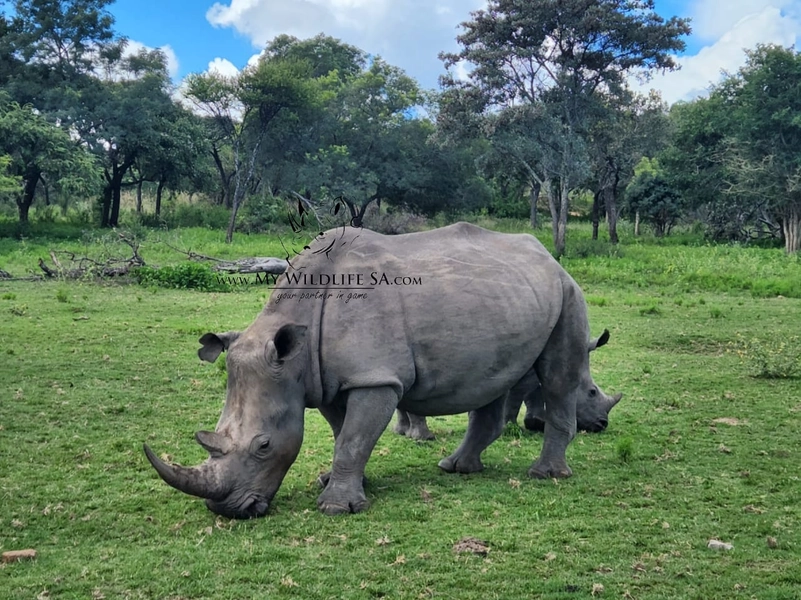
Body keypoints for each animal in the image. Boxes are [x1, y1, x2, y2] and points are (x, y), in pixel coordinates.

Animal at [394, 330, 622, 440]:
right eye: (592, 392)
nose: (602, 424)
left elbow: (534, 394)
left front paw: (536, 423)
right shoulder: (526, 372)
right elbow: (518, 396)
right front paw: (512, 426)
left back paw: (403, 432)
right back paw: (425, 438)